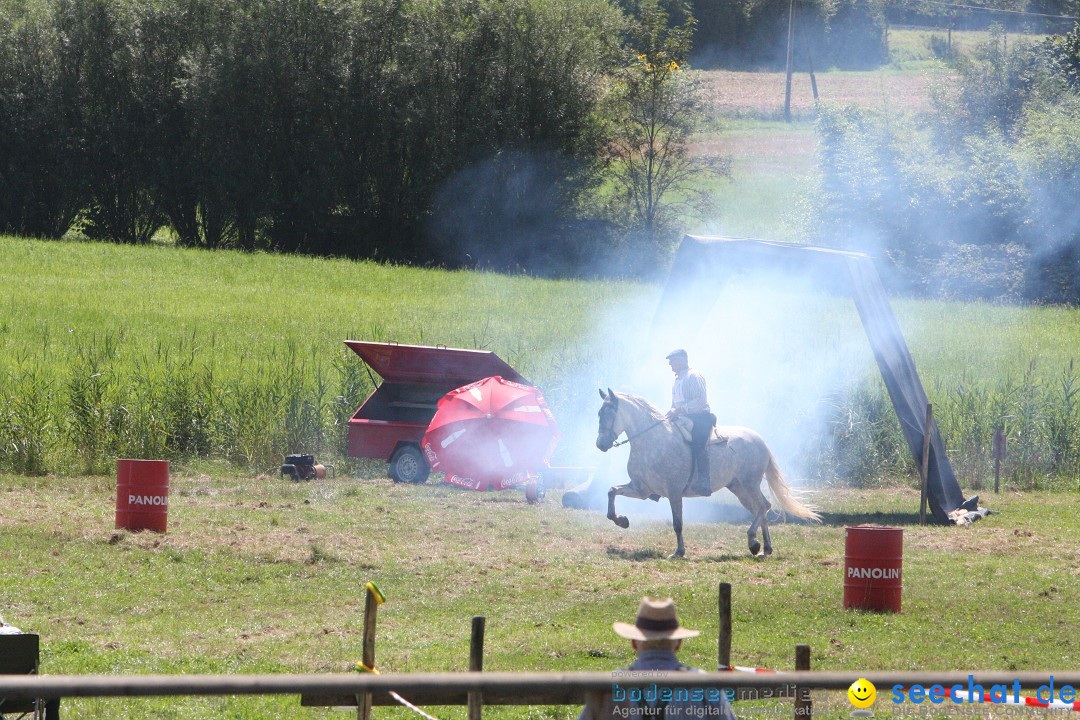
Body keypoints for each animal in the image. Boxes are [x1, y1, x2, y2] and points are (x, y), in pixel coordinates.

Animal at [591, 388, 816, 557]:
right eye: (599, 414)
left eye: (609, 413)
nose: (601, 444)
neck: (653, 441)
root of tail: (761, 441)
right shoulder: (641, 489)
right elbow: (612, 491)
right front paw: (621, 520)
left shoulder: (673, 492)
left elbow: (678, 523)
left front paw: (679, 552)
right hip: (738, 487)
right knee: (760, 509)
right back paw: (765, 547)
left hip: (749, 483)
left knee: (763, 506)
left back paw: (753, 542)